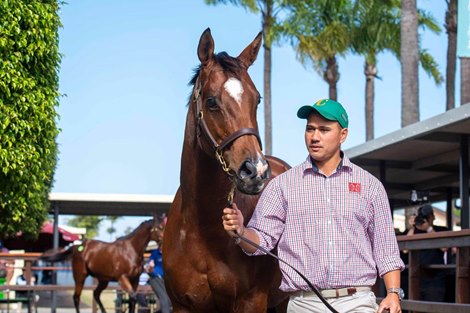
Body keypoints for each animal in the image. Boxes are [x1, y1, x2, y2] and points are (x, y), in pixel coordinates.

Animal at [163, 27, 292, 312]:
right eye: (211, 101)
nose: (256, 171)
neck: (202, 231)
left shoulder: (251, 301)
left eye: (258, 100)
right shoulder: (182, 305)